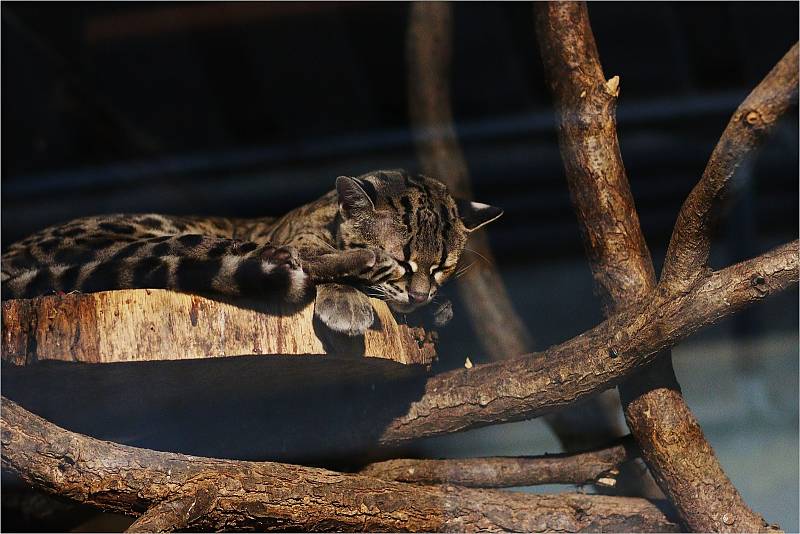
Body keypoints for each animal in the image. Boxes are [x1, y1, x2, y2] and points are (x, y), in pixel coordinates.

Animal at [3, 170, 500, 338]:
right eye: (403, 262)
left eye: (442, 268)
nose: (419, 295)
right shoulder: (293, 235)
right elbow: (311, 256)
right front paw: (349, 297)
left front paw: (436, 307)